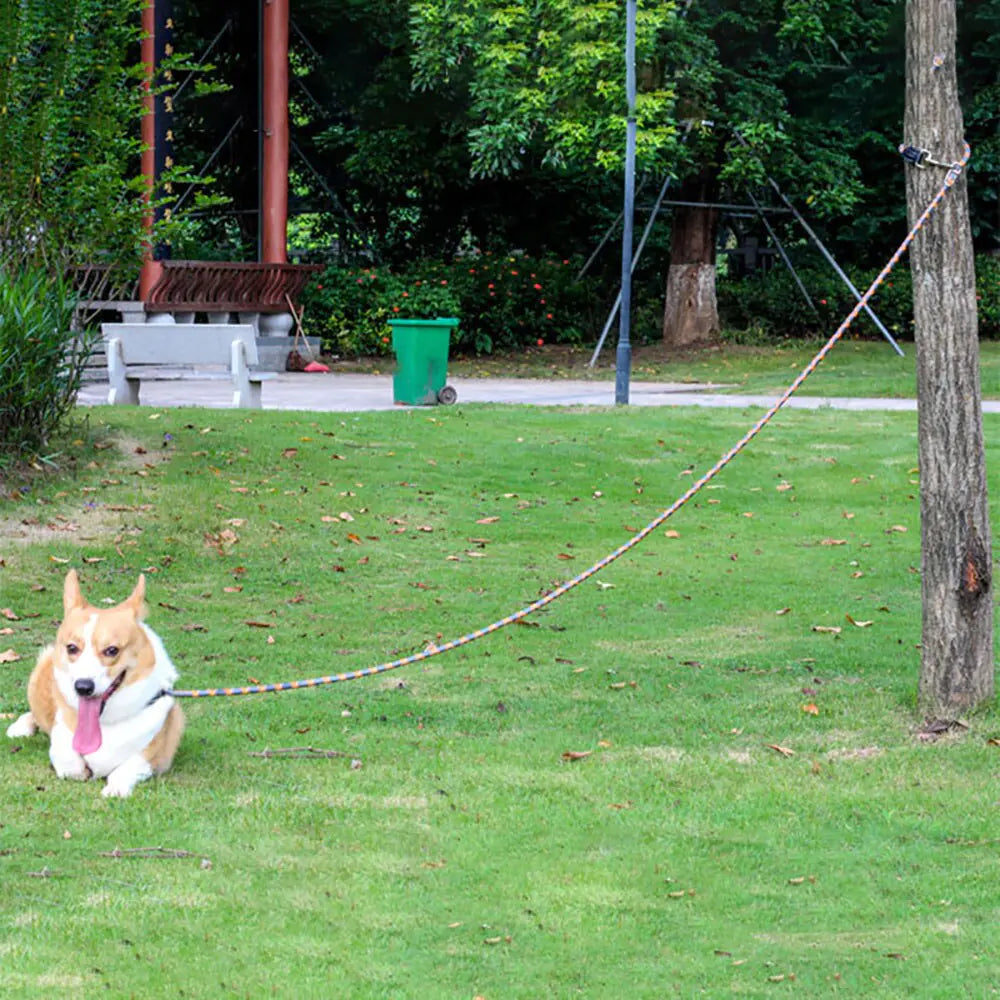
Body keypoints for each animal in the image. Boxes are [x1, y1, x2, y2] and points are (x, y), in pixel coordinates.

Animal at [6, 572, 184, 796]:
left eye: (112, 650)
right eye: (72, 648)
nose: (83, 687)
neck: (104, 722)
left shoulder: (154, 755)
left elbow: (127, 767)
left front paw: (115, 788)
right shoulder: (61, 736)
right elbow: (68, 762)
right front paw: (83, 772)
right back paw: (21, 727)